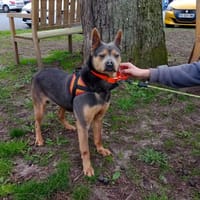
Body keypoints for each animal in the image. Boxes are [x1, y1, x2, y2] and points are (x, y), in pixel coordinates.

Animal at [31, 27, 122, 175]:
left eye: (116, 55)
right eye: (101, 55)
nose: (110, 64)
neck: (98, 85)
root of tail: (39, 72)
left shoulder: (98, 118)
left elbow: (98, 138)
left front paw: (100, 149)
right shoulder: (83, 124)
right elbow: (85, 150)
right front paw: (87, 168)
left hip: (64, 100)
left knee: (60, 115)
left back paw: (68, 126)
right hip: (40, 107)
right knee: (37, 123)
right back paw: (39, 139)